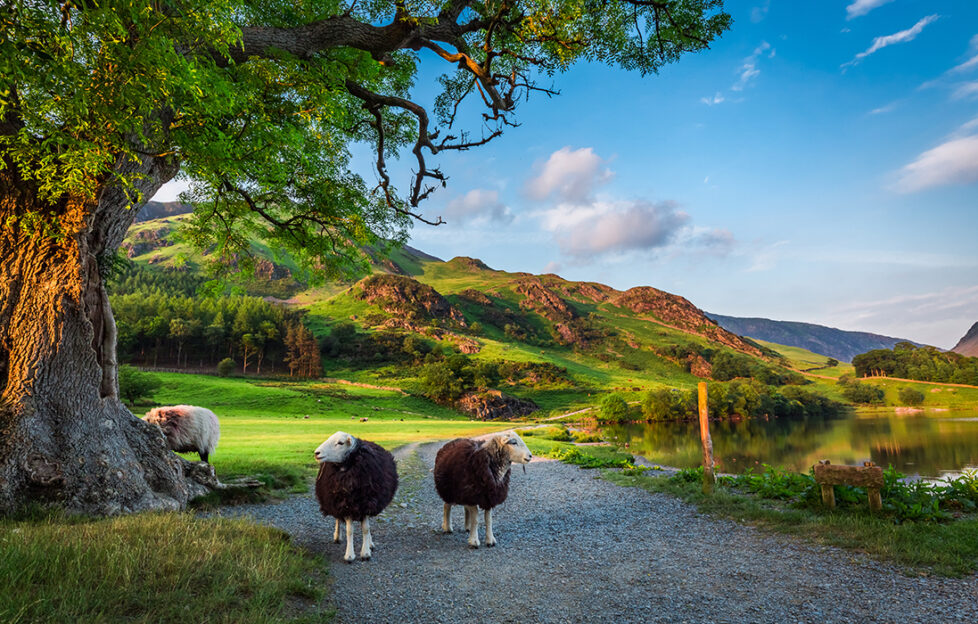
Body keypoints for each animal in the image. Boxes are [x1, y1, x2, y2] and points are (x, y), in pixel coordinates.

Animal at [316, 432, 400, 564]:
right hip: (335, 502)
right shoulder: (345, 505)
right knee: (337, 518)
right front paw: (349, 555)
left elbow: (366, 528)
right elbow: (350, 531)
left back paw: (370, 543)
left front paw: (365, 553)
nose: (316, 453)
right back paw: (337, 536)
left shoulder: (365, 504)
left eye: (340, 443)